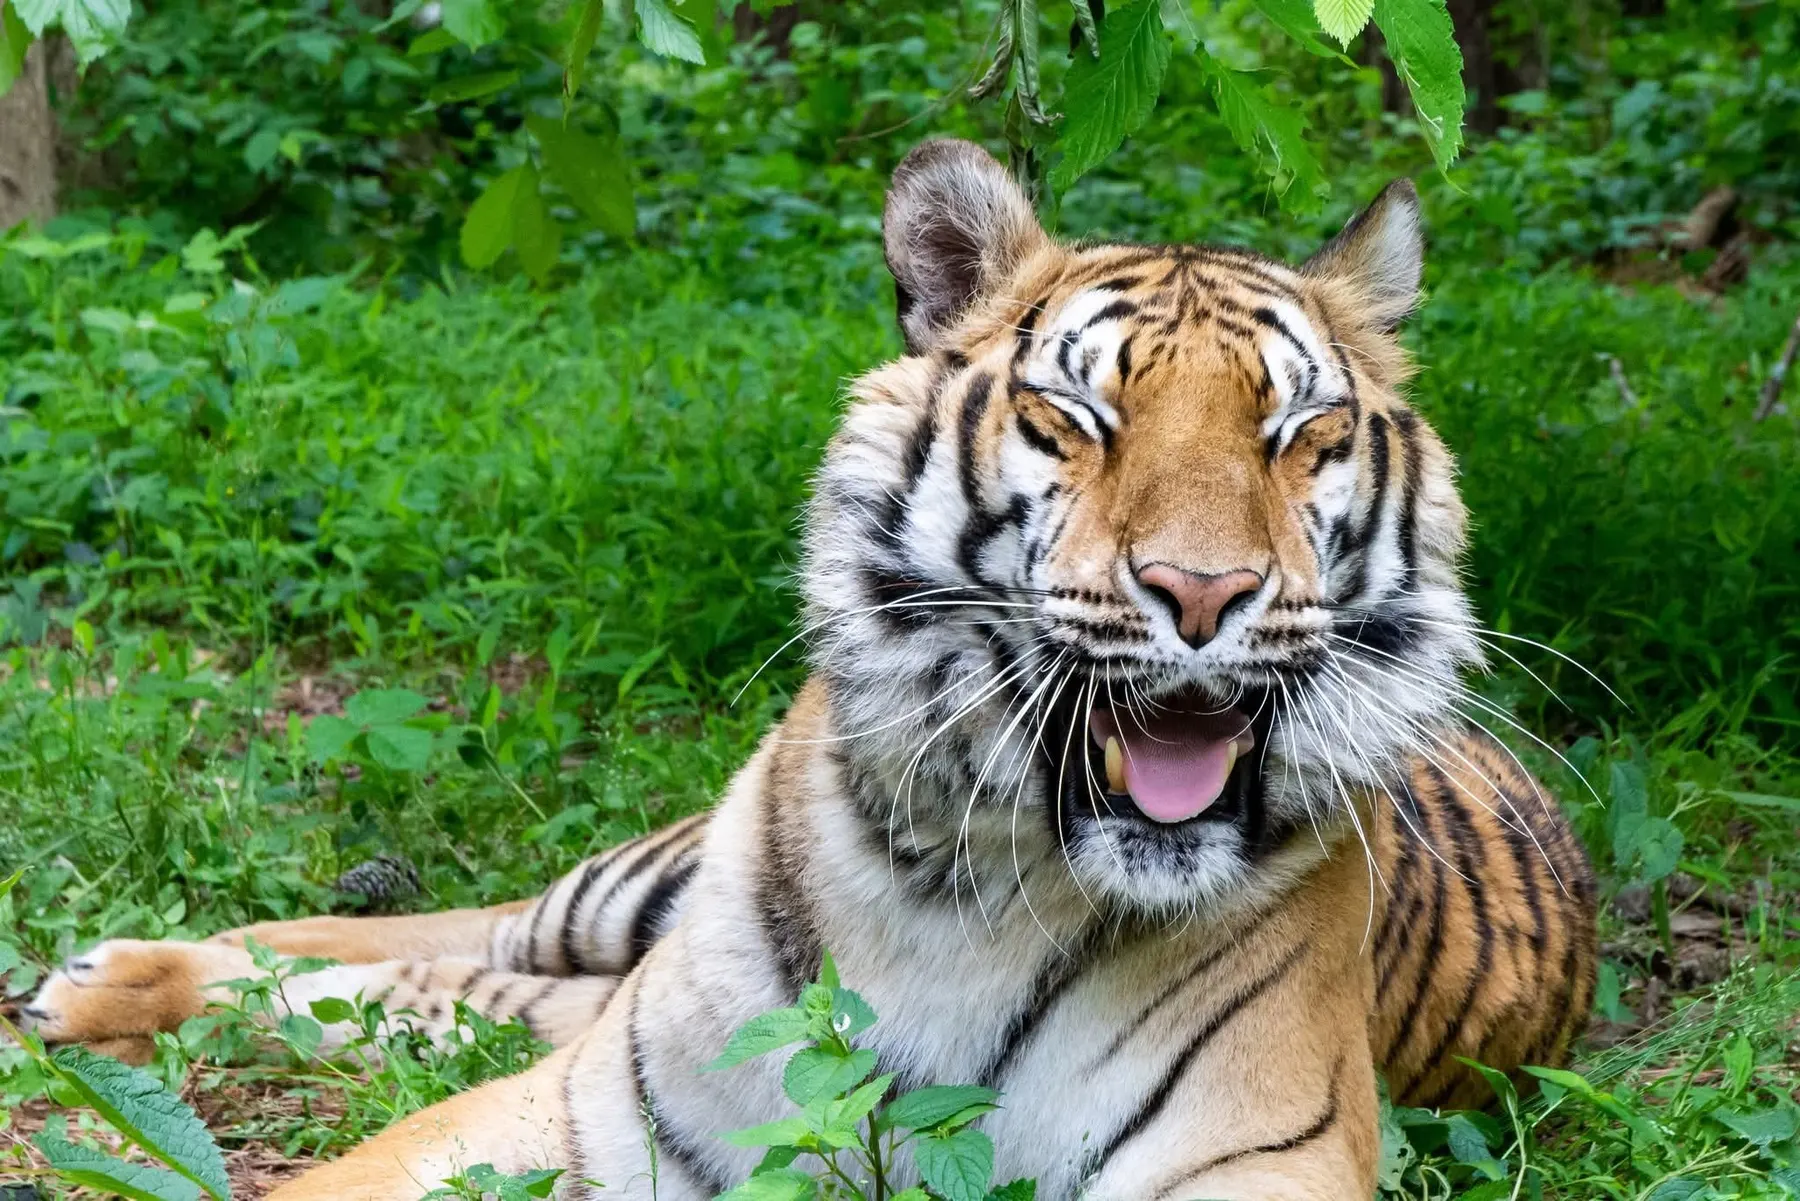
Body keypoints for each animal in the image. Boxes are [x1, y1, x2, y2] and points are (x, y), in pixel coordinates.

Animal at [23, 138, 1596, 1200]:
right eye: (1076, 416)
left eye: (1298, 433)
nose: (1204, 592)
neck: (970, 892)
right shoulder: (601, 1106)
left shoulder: (1254, 1159)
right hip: (627, 896)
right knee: (452, 930)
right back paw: (106, 974)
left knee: (443, 983)